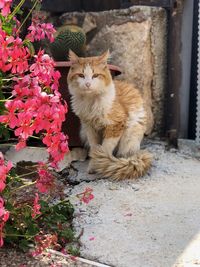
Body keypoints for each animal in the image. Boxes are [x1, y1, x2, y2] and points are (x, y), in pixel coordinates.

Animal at [67, 49, 153, 181]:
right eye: (81, 75)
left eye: (95, 75)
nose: (87, 84)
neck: (91, 101)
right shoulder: (89, 127)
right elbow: (95, 147)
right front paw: (94, 166)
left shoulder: (115, 124)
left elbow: (105, 147)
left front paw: (101, 163)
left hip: (130, 135)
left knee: (122, 154)